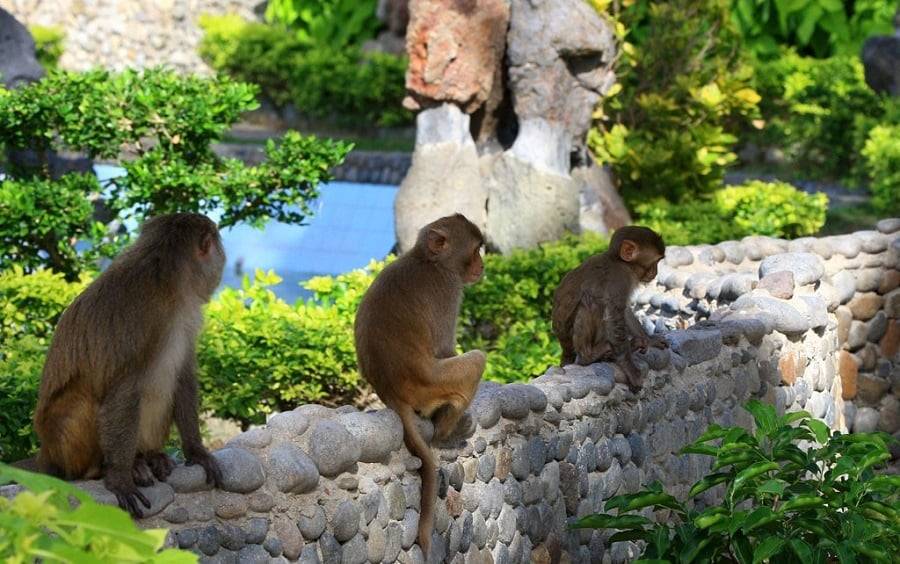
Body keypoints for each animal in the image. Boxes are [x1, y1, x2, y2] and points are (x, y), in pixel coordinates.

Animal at [33, 213, 225, 517]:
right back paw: (113, 467)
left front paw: (196, 451)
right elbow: (122, 388)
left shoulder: (185, 317)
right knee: (86, 401)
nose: (221, 257)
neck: (167, 279)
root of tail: (46, 452)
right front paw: (120, 478)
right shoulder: (142, 319)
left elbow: (183, 375)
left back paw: (150, 455)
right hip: (65, 448)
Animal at [354, 213, 487, 555]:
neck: (428, 260)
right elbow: (444, 348)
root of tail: (391, 392)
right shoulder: (449, 289)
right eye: (475, 250)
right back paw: (446, 433)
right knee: (475, 361)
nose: (481, 265)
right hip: (431, 384)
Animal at [551, 225, 668, 392]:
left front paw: (649, 339)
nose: (655, 273)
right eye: (655, 262)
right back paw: (590, 355)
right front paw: (630, 369)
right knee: (591, 302)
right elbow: (614, 315)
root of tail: (564, 348)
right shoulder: (618, 279)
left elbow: (625, 310)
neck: (619, 261)